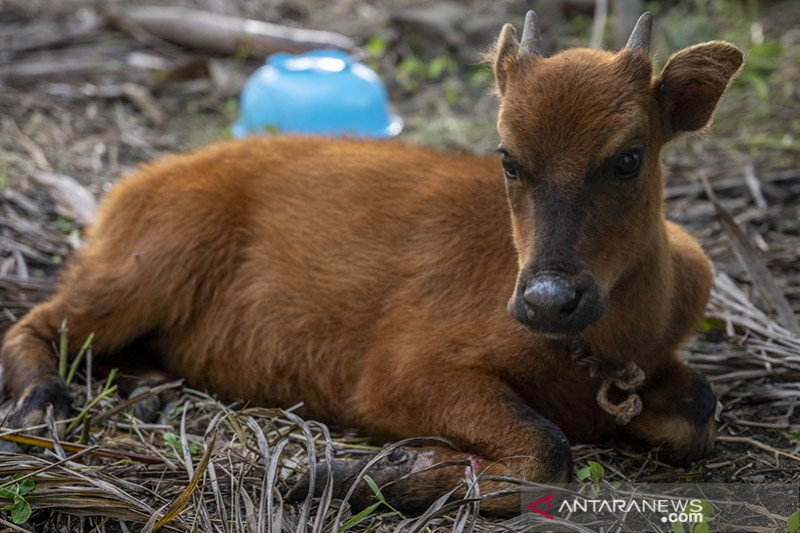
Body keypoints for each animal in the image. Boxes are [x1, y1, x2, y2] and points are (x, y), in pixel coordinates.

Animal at [1, 11, 744, 512]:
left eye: (628, 157)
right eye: (508, 157)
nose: (548, 301)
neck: (599, 343)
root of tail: (136, 181)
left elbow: (699, 410)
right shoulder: (399, 377)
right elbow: (546, 453)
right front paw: (350, 475)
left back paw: (150, 390)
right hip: (147, 268)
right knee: (36, 321)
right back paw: (42, 404)